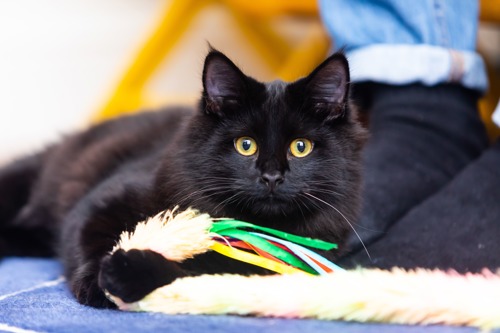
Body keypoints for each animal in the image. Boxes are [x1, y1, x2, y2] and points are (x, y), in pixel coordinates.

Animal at [0, 49, 366, 306]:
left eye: (300, 147)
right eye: (245, 145)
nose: (272, 177)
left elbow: (185, 275)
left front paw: (128, 273)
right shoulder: (101, 202)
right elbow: (93, 241)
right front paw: (98, 284)